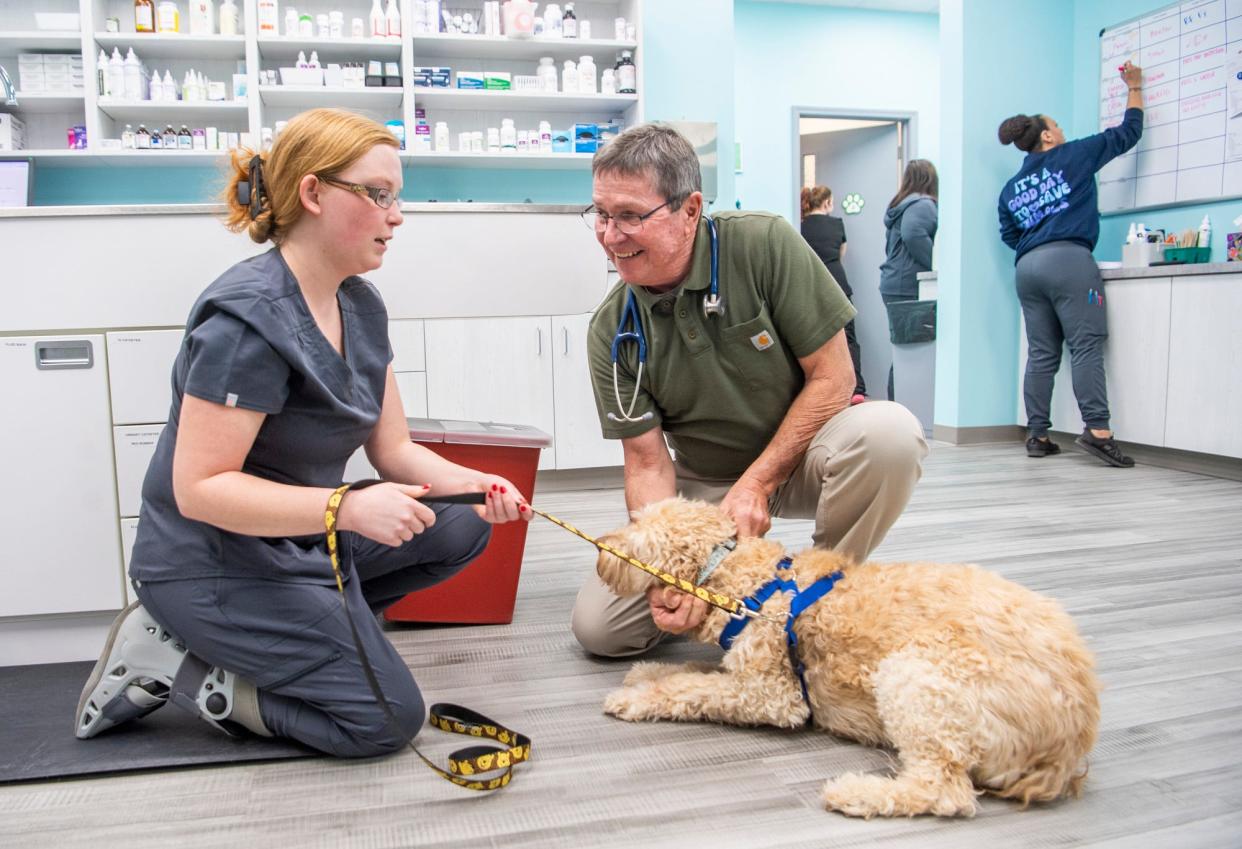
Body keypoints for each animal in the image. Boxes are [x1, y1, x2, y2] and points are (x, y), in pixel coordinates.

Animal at [596, 496, 1102, 814]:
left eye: (636, 529)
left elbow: (695, 688)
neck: (747, 582)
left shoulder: (771, 695)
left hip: (915, 675)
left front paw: (637, 697)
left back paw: (857, 793)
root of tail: (1073, 738)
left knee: (945, 791)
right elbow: (692, 672)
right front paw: (647, 671)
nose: (602, 546)